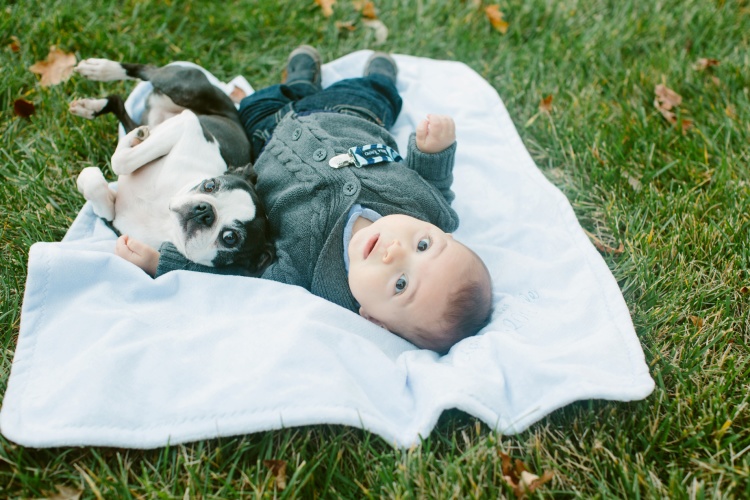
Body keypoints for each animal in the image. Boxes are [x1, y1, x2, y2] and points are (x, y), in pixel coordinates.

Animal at [70, 58, 274, 274]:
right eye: (210, 185)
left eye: (230, 238)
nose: (204, 211)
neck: (165, 219)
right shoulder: (189, 125)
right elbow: (121, 163)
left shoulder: (114, 222)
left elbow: (107, 181)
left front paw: (88, 179)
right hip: (183, 87)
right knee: (145, 72)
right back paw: (100, 74)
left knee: (123, 104)